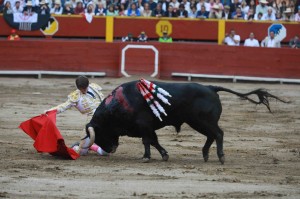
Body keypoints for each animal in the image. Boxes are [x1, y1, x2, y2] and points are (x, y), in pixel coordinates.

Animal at [85, 80, 288, 164]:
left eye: (99, 132)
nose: (109, 150)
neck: (120, 103)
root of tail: (211, 87)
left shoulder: (144, 126)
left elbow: (147, 141)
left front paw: (146, 157)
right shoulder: (149, 128)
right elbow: (155, 141)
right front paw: (164, 155)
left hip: (203, 121)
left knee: (218, 133)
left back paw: (220, 157)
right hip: (197, 123)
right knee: (212, 136)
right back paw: (205, 154)